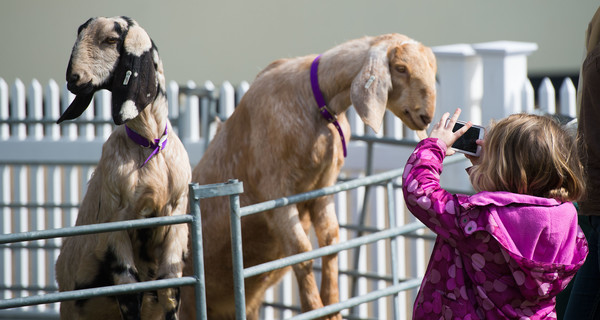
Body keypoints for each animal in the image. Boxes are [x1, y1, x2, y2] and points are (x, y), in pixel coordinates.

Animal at [54, 16, 190, 320]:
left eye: (111, 40)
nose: (73, 80)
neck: (149, 145)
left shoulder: (176, 219)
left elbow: (170, 287)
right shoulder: (116, 224)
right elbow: (129, 291)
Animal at [178, 32, 436, 318]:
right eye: (400, 68)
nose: (426, 116)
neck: (319, 106)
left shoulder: (323, 188)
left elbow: (331, 240)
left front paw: (333, 307)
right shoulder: (276, 190)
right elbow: (301, 252)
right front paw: (314, 308)